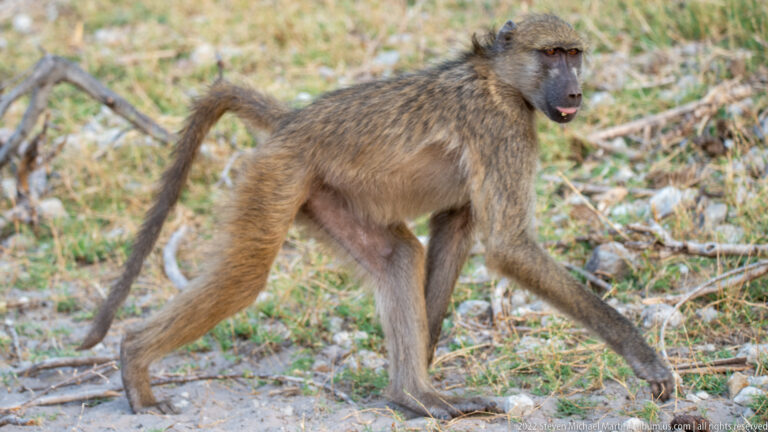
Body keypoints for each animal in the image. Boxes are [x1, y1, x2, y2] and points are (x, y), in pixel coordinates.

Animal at [78, 14, 674, 419]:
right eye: (551, 52)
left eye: (575, 53)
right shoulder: (501, 129)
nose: (575, 90)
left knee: (397, 256)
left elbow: (454, 229)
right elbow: (508, 245)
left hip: (322, 196)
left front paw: (425, 363)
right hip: (278, 174)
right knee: (243, 278)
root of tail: (293, 121)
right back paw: (134, 364)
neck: (499, 78)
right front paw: (645, 358)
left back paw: (412, 395)